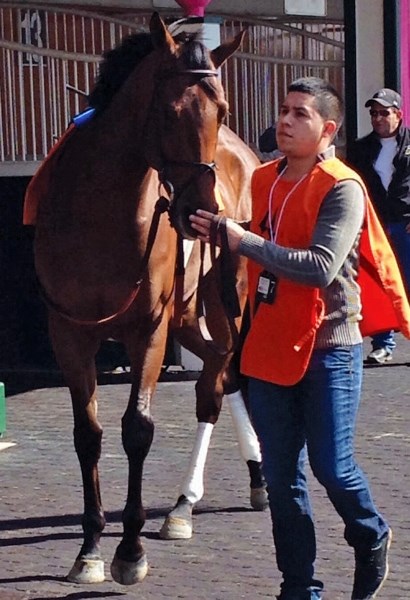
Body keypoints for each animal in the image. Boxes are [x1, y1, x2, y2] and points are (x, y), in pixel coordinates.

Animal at [32, 11, 270, 584]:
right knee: (221, 374)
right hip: (188, 316)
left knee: (216, 383)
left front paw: (130, 550)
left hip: (224, 299)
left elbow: (137, 429)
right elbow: (88, 433)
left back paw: (187, 503)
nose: (202, 214)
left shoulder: (150, 330)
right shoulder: (67, 332)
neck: (99, 216)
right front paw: (90, 548)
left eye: (222, 109)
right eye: (168, 110)